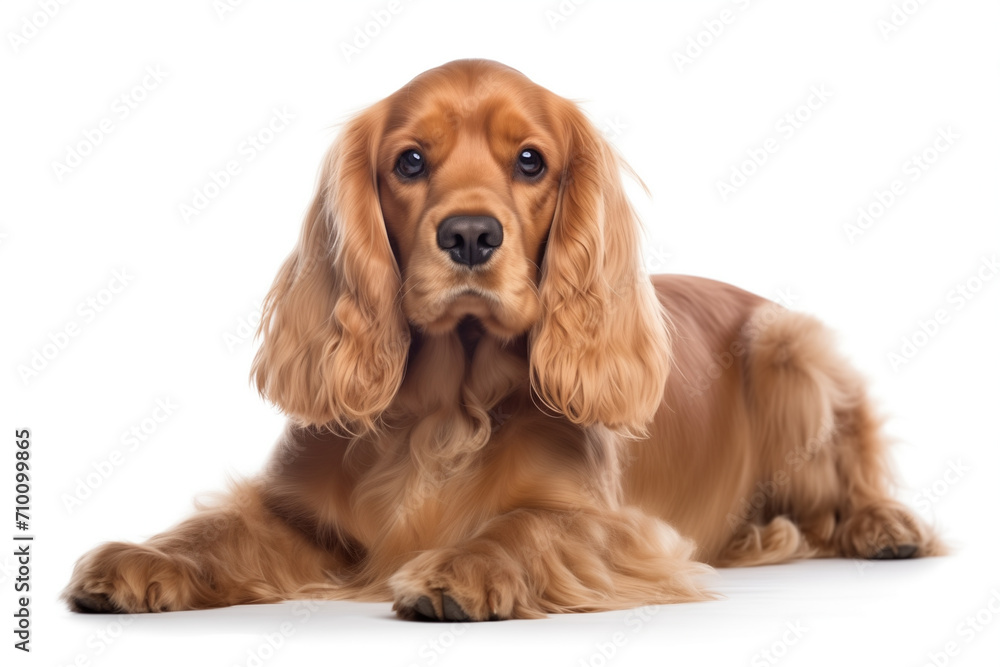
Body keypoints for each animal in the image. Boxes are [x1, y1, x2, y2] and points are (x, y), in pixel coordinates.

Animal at [66, 60, 940, 624]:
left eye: (530, 161)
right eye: (409, 161)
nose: (469, 234)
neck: (443, 408)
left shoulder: (619, 526)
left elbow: (525, 525)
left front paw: (462, 567)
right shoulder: (300, 514)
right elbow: (215, 529)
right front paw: (142, 558)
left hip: (789, 348)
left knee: (851, 484)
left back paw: (885, 526)